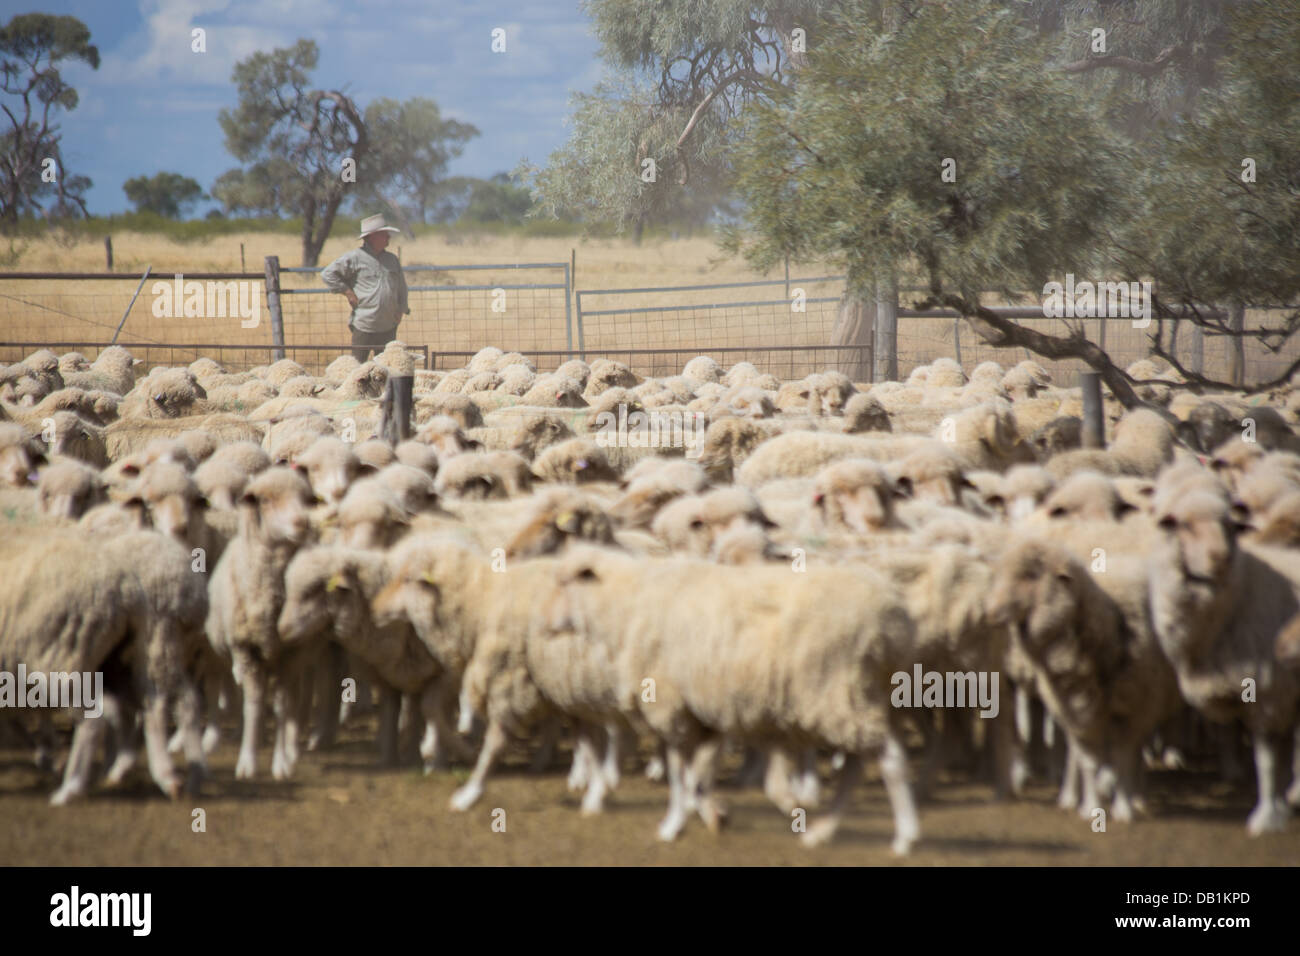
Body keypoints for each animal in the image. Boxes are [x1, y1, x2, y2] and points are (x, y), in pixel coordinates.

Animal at [205, 467, 317, 780]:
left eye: (306, 499)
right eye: (266, 501)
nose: (302, 522)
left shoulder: (290, 654)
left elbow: (282, 706)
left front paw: (282, 762)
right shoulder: (247, 649)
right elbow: (253, 706)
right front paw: (248, 762)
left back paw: (290, 746)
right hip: (219, 650)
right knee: (218, 685)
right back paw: (213, 737)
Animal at [1148, 490, 1300, 833]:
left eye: (1230, 526)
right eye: (1185, 525)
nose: (1221, 558)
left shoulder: (1269, 691)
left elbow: (1267, 759)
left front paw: (1266, 817)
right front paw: (1281, 807)